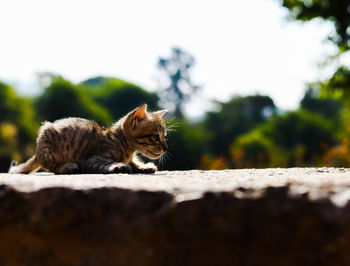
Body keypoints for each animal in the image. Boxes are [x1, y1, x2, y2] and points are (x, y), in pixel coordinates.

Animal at [7, 104, 167, 175]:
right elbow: (109, 163)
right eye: (156, 137)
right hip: (47, 142)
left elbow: (134, 163)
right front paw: (119, 166)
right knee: (51, 167)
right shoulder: (92, 160)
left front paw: (143, 166)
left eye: (164, 136)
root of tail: (37, 153)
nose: (165, 148)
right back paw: (66, 167)